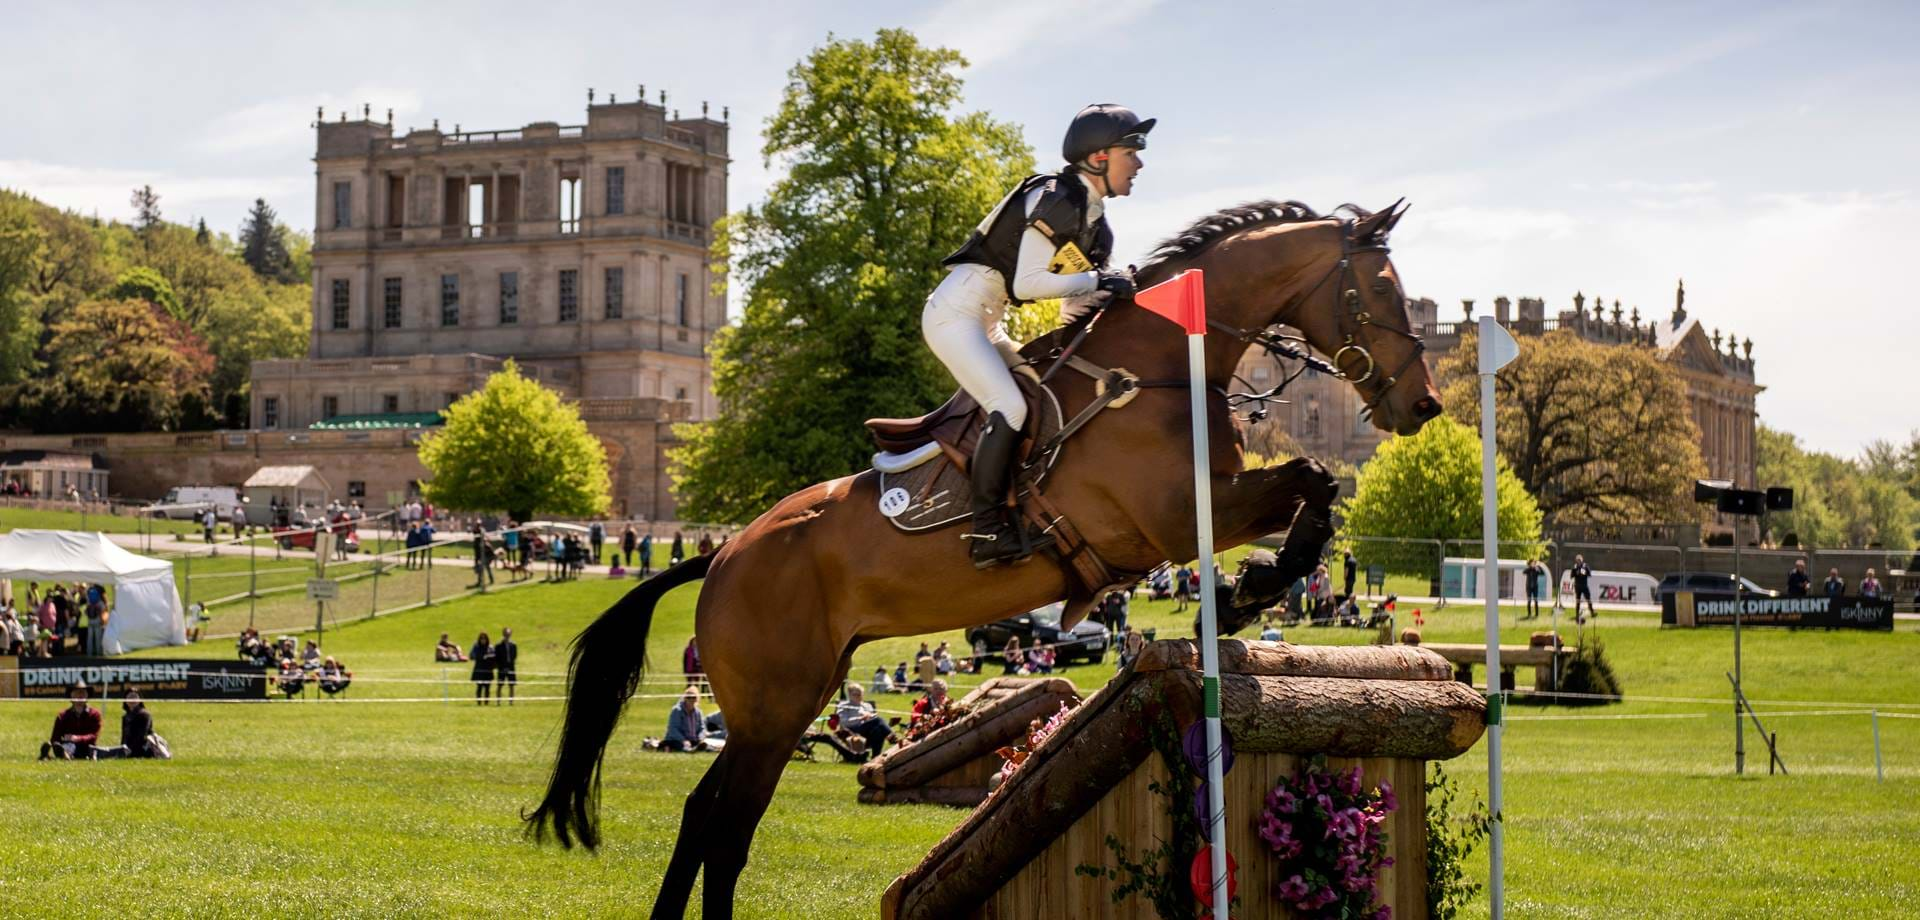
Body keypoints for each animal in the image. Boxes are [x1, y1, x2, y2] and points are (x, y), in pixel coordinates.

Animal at [526, 197, 1443, 918]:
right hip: (774, 708)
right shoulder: (1174, 523)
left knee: (701, 817)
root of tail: (720, 558)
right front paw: (1255, 586)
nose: (1424, 405)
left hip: (786, 703)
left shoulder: (1213, 504)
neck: (1157, 372)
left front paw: (1256, 588)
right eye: (1378, 292)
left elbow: (1316, 486)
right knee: (727, 830)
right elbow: (1308, 483)